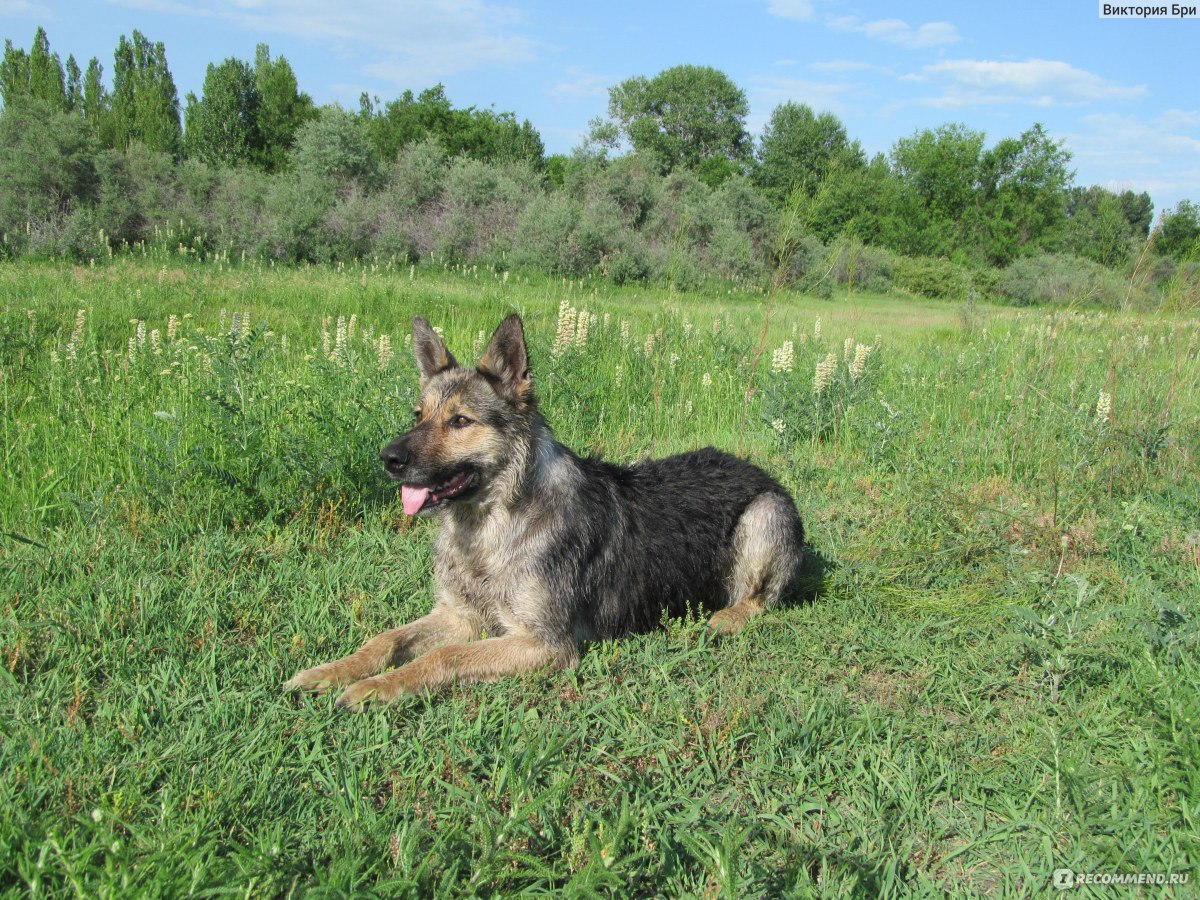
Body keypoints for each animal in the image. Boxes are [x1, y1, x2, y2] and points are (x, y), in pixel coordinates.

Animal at [284, 314, 801, 710]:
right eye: (418, 415)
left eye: (460, 421)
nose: (387, 458)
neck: (493, 526)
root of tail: (757, 468)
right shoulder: (459, 616)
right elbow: (386, 639)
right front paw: (336, 670)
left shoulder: (545, 644)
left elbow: (444, 657)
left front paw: (376, 687)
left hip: (764, 516)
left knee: (762, 599)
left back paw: (727, 618)